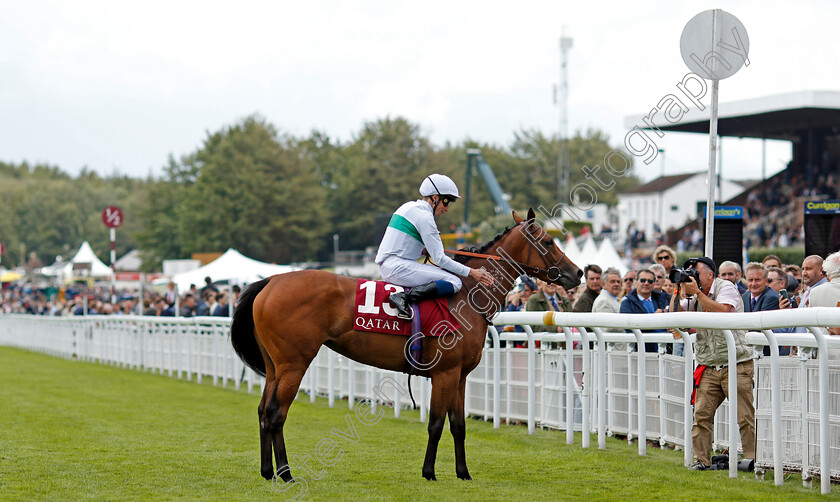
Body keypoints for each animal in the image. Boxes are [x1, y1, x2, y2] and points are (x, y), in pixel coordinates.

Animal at [233, 209, 580, 482]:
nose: (576, 273)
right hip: (295, 362)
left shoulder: (460, 376)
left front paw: (464, 473)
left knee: (263, 410)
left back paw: (267, 471)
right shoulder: (445, 373)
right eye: (548, 242)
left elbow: (458, 425)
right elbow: (436, 424)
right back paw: (286, 474)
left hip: (274, 365)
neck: (466, 297)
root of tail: (270, 281)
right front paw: (429, 473)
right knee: (276, 412)